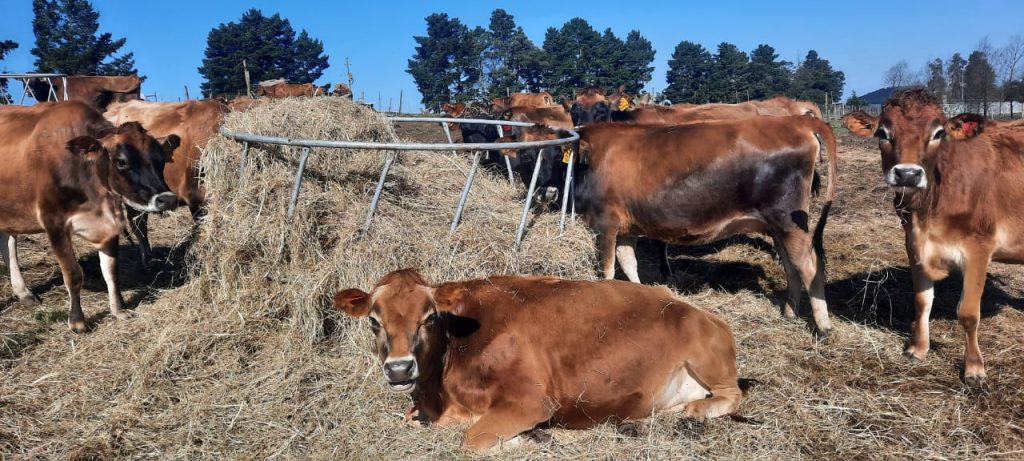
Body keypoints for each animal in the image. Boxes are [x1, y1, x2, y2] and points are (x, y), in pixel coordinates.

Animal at [0, 101, 178, 332]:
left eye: (161, 159)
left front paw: (119, 310)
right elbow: (73, 274)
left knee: (7, 242)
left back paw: (24, 293)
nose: (168, 199)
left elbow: (111, 270)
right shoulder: (54, 222)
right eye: (121, 161)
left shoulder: (111, 222)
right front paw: (77, 321)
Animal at [334, 269, 742, 451]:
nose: (399, 368)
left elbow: (472, 438)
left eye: (429, 318)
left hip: (706, 355)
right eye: (374, 321)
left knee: (732, 394)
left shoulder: (531, 399)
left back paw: (696, 412)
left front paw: (531, 438)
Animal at [506, 116, 840, 337]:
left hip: (788, 221)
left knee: (810, 266)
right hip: (778, 227)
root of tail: (795, 120)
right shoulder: (627, 229)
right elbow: (629, 266)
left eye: (554, 154)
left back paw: (823, 326)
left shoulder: (605, 224)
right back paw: (789, 312)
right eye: (524, 155)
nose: (545, 192)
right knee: (791, 267)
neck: (589, 160)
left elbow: (607, 270)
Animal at [842, 89, 1024, 384]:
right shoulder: (914, 244)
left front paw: (974, 368)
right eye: (883, 132)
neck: (928, 213)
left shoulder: (979, 247)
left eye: (939, 133)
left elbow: (968, 313)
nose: (907, 173)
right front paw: (917, 349)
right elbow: (922, 301)